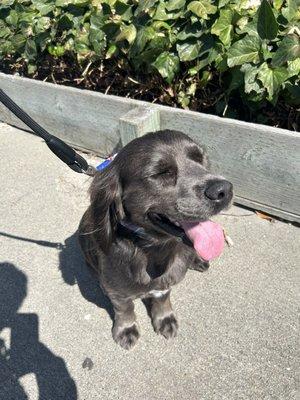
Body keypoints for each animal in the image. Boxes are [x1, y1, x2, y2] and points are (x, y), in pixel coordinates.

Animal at [78, 130, 233, 348]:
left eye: (201, 160)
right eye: (161, 173)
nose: (224, 190)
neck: (154, 249)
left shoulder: (165, 281)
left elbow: (162, 298)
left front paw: (164, 318)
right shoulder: (117, 292)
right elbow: (125, 309)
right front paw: (126, 329)